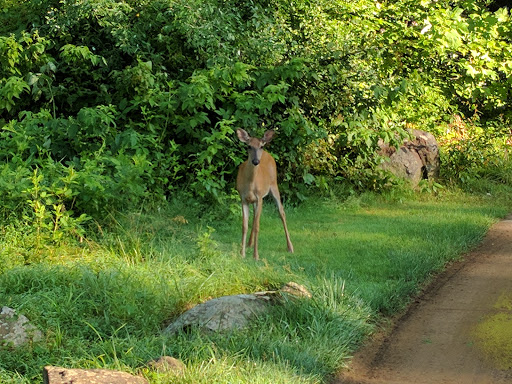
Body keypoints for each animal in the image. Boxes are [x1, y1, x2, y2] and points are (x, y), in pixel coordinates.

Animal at [235, 129, 292, 260]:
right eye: (249, 146)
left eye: (261, 146)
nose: (256, 161)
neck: (250, 184)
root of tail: (267, 154)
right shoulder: (243, 198)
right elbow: (244, 226)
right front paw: (242, 253)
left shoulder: (260, 197)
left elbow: (257, 226)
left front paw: (256, 256)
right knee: (255, 217)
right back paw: (249, 243)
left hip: (274, 185)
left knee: (282, 212)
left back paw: (290, 247)